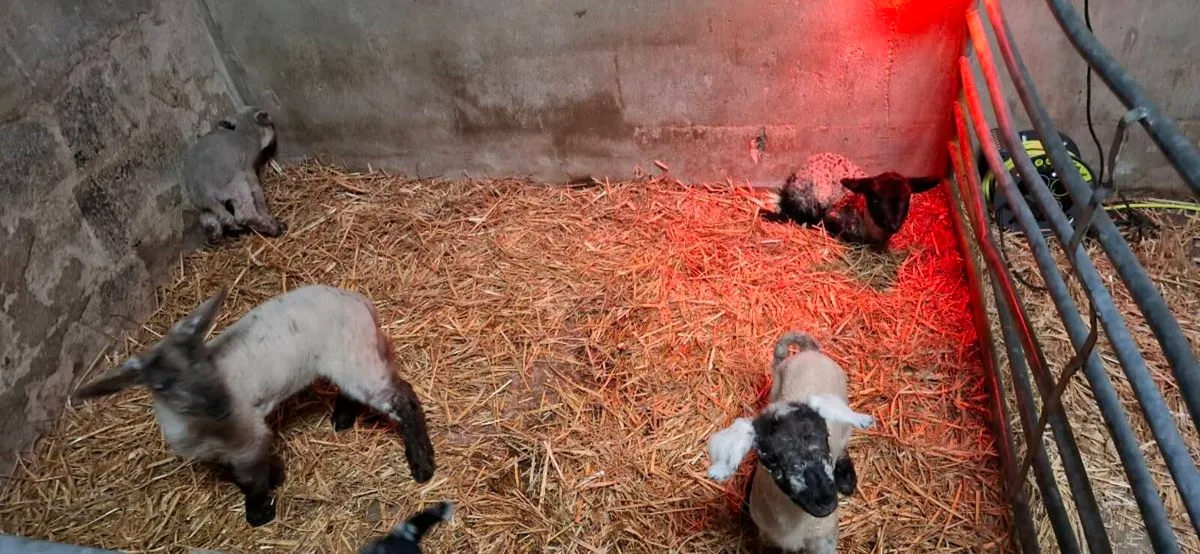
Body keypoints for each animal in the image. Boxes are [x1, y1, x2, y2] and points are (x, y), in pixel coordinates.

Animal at [73, 285, 436, 527]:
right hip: (349, 359)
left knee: (403, 398)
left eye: (203, 360)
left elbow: (249, 478)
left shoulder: (246, 435)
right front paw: (276, 475)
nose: (220, 405)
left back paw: (422, 465)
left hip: (356, 355)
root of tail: (359, 301)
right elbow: (247, 471)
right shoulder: (237, 444)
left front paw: (259, 512)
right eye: (161, 385)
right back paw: (343, 418)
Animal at [183, 106, 285, 243]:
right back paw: (273, 228)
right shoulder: (248, 170)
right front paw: (268, 216)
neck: (243, 133)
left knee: (216, 222)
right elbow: (258, 196)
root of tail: (202, 190)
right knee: (244, 215)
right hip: (237, 184)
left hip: (206, 207)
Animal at [707, 331, 874, 554]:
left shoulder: (824, 540)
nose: (825, 501)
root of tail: (810, 353)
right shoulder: (767, 537)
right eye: (770, 458)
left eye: (825, 436)